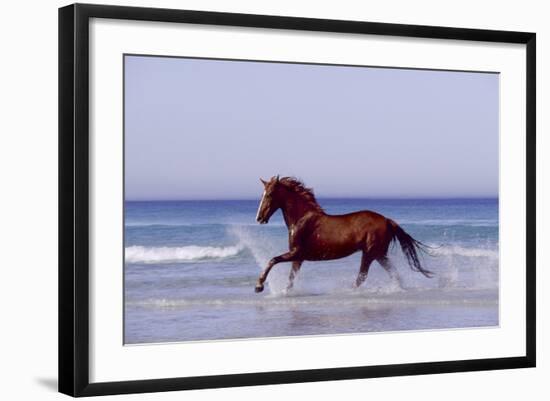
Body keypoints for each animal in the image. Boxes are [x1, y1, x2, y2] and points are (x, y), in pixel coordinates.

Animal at [254, 174, 436, 290]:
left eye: (270, 194)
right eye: (263, 194)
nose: (259, 218)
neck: (301, 219)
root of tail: (386, 220)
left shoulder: (297, 253)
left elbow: (272, 260)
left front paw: (259, 286)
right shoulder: (298, 258)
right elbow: (290, 279)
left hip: (369, 253)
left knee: (362, 277)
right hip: (379, 254)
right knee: (393, 275)